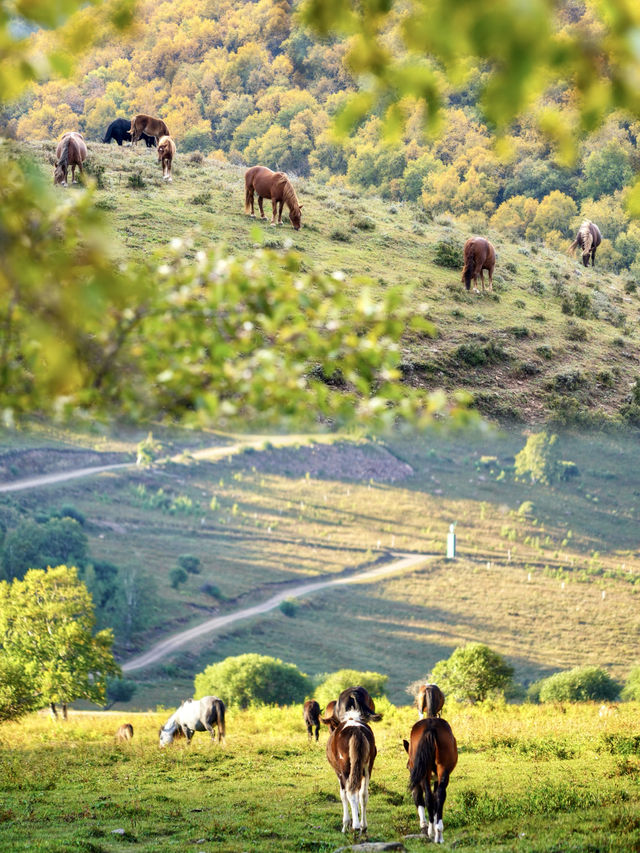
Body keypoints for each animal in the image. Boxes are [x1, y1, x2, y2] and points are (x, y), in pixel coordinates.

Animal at [324, 704, 376, 832]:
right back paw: (363, 825)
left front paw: (345, 824)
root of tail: (355, 729)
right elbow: (359, 794)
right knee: (363, 794)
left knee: (350, 793)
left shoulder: (339, 773)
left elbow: (343, 795)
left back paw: (355, 826)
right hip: (367, 768)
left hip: (346, 769)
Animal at [402, 716, 458, 844]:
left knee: (428, 797)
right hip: (443, 769)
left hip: (425, 774)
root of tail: (430, 727)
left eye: (408, 767)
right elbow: (436, 799)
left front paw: (424, 826)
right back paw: (439, 833)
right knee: (439, 795)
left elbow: (419, 798)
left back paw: (432, 832)